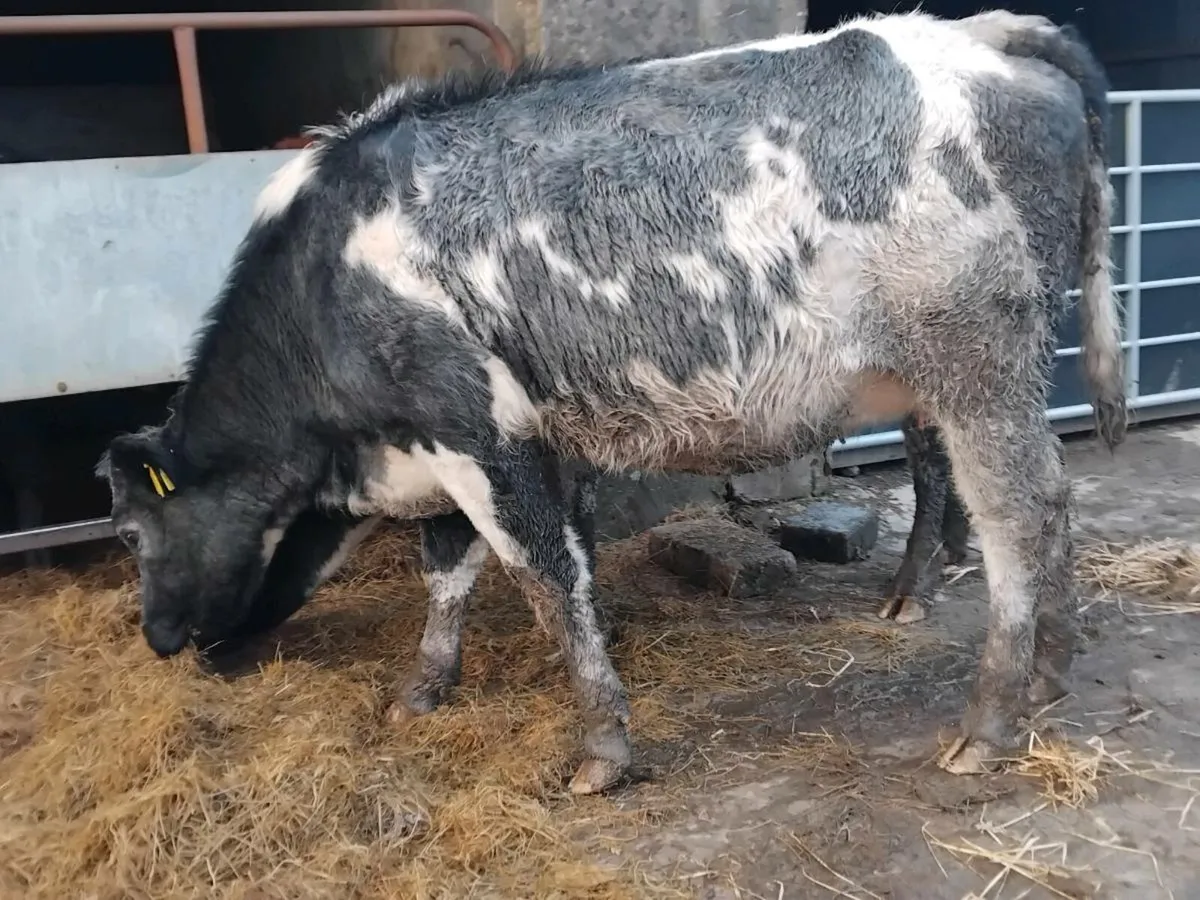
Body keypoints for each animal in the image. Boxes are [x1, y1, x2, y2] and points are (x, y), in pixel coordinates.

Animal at [97, 9, 1126, 795]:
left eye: (133, 533)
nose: (155, 640)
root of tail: (986, 33)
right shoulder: (455, 445)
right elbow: (452, 576)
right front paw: (424, 690)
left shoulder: (475, 430)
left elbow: (548, 581)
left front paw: (600, 750)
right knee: (1055, 498)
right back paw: (1052, 676)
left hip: (975, 362)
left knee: (1018, 520)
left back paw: (989, 722)